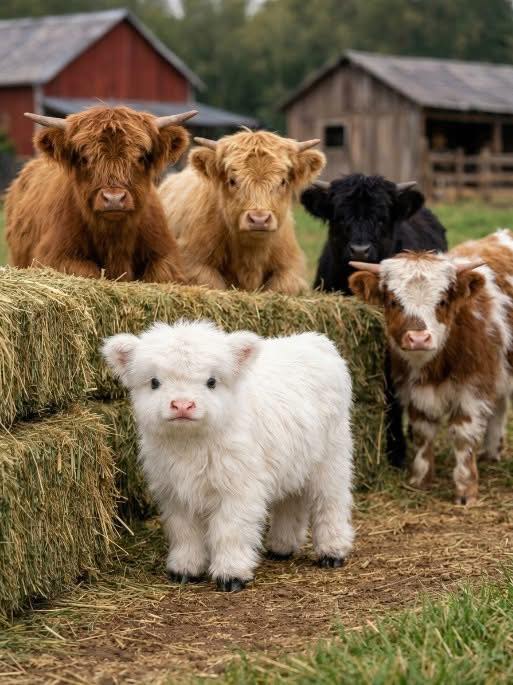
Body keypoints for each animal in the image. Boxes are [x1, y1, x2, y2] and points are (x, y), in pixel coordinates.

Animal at [5, 106, 197, 282]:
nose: (114, 199)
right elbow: (90, 272)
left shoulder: (167, 257)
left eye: (141, 157)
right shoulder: (54, 257)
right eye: (84, 158)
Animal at [102, 320, 354, 591]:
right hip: (294, 460)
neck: (190, 444)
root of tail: (313, 340)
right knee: (291, 501)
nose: (182, 405)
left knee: (330, 502)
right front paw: (185, 569)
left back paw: (332, 551)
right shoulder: (175, 493)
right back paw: (281, 546)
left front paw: (231, 574)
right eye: (154, 382)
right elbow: (184, 531)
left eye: (212, 381)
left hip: (332, 457)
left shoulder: (238, 489)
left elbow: (230, 530)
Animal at [157, 130, 326, 295]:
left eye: (283, 181)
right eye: (232, 181)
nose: (259, 220)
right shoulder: (192, 264)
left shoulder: (291, 270)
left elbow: (281, 287)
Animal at [349, 229, 513, 504]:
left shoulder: (473, 389)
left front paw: (466, 489)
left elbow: (463, 436)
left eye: (443, 301)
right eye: (392, 301)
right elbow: (422, 433)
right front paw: (420, 479)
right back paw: (491, 452)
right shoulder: (414, 391)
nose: (418, 338)